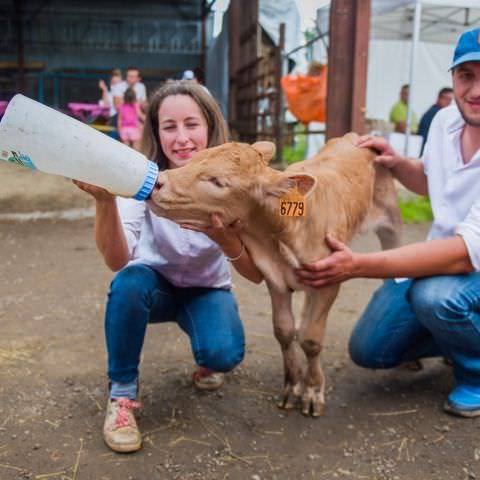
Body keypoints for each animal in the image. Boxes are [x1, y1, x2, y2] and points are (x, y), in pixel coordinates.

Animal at [147, 134, 402, 416]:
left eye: (218, 181)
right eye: (193, 159)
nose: (158, 182)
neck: (279, 233)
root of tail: (353, 137)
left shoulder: (330, 279)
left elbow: (312, 339)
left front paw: (312, 391)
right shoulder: (275, 279)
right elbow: (284, 331)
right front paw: (292, 387)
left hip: (391, 220)